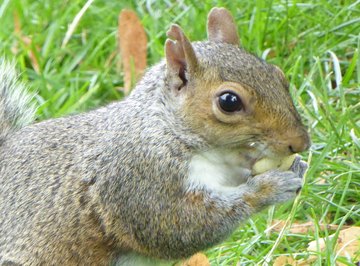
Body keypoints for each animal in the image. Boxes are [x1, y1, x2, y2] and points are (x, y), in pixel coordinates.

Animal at [0, 6, 310, 266]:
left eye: (279, 75)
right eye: (229, 101)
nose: (301, 143)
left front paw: (297, 166)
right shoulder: (139, 180)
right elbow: (182, 226)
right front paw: (270, 187)